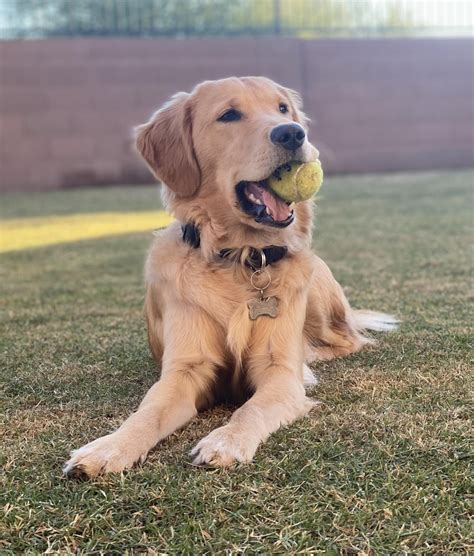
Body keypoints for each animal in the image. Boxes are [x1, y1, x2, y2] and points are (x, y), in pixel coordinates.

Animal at [64, 77, 396, 478]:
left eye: (282, 108)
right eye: (229, 115)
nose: (292, 133)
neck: (242, 258)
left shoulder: (277, 374)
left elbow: (251, 408)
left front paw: (227, 440)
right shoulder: (184, 371)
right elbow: (147, 413)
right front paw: (108, 447)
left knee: (348, 340)